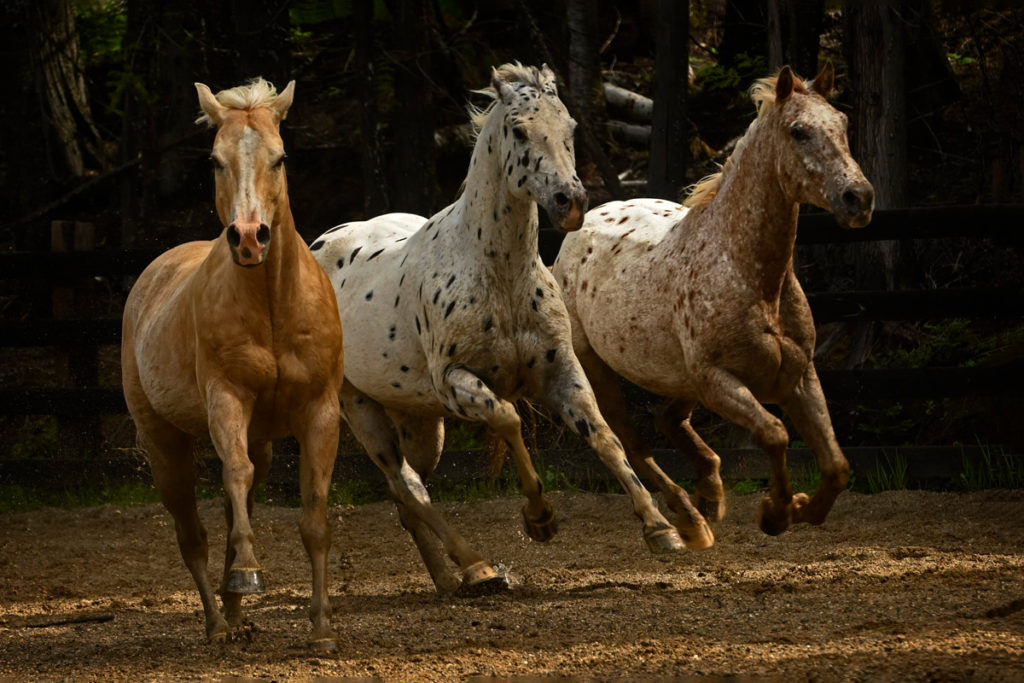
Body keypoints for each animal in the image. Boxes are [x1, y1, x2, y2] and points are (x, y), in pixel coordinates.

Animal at [119, 78, 344, 647]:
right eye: (215, 161)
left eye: (280, 158)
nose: (248, 237)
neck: (271, 304)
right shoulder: (227, 401)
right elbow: (235, 474)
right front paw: (246, 573)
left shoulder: (321, 412)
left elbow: (314, 516)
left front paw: (322, 628)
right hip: (164, 444)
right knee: (192, 532)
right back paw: (220, 622)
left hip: (260, 439)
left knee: (227, 507)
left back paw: (236, 611)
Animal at [311, 65, 692, 598]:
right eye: (518, 130)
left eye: (570, 126)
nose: (570, 201)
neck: (500, 276)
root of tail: (320, 242)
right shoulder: (456, 382)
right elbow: (509, 420)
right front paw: (540, 519)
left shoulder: (562, 371)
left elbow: (605, 438)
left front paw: (661, 529)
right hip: (361, 408)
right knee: (407, 485)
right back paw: (478, 567)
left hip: (419, 421)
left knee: (408, 494)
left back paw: (451, 579)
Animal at [552, 65, 872, 548]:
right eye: (798, 131)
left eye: (843, 123)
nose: (859, 198)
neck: (749, 275)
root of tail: (583, 223)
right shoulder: (719, 382)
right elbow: (775, 435)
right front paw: (776, 513)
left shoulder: (798, 377)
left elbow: (837, 466)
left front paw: (799, 509)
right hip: (598, 368)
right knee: (629, 441)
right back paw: (682, 522)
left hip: (680, 380)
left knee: (667, 420)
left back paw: (707, 496)